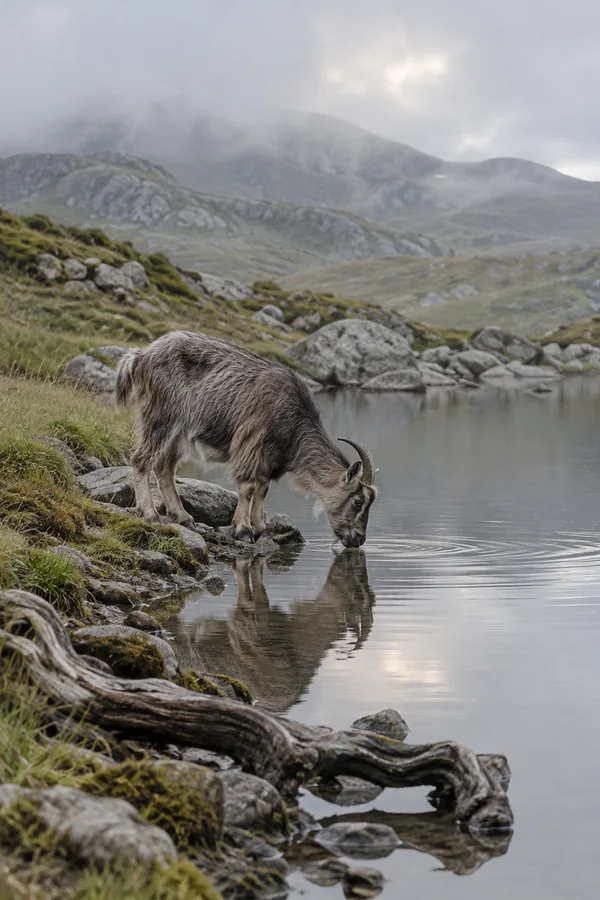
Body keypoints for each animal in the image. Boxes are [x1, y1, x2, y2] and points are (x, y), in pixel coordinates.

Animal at [115, 330, 377, 547]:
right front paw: (243, 529)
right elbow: (249, 487)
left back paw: (183, 517)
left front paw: (259, 527)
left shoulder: (268, 458)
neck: (293, 421)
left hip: (176, 434)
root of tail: (141, 356)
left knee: (164, 467)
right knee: (141, 459)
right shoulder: (251, 444)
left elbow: (263, 488)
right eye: (358, 502)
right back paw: (150, 513)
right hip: (160, 418)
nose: (358, 540)